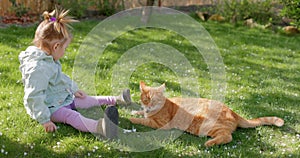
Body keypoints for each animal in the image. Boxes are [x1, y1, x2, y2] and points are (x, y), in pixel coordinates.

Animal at [130, 81, 284, 147]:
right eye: (146, 99)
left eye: (155, 100)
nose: (149, 106)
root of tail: (233, 111)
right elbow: (141, 113)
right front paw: (135, 111)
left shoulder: (160, 124)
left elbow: (143, 120)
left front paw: (133, 118)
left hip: (207, 127)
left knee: (227, 136)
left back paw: (210, 143)